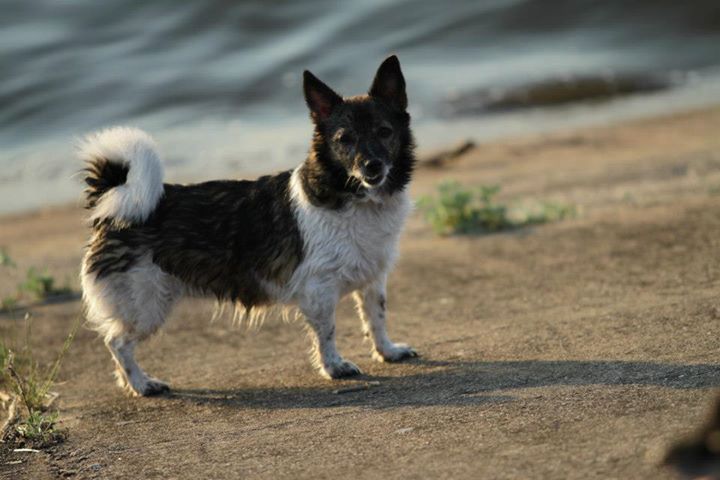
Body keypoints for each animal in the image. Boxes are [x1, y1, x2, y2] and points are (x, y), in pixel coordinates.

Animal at [79, 56, 416, 396]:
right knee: (117, 343)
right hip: (145, 305)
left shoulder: (373, 279)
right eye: (344, 140)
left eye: (384, 132)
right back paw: (141, 383)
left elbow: (376, 317)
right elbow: (327, 332)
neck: (353, 196)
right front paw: (334, 367)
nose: (372, 166)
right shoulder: (318, 290)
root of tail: (111, 202)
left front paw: (387, 351)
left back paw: (133, 382)